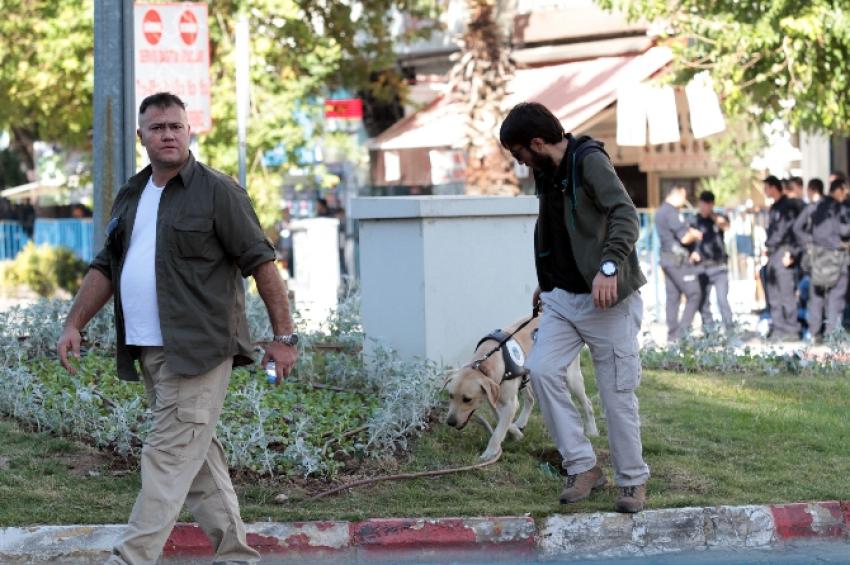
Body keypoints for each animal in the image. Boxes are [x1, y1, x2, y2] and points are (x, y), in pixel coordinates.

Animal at [444, 316, 596, 460]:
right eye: (450, 396)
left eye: (467, 399)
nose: (450, 422)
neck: (484, 364)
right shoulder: (494, 400)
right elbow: (502, 421)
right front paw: (516, 434)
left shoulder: (510, 403)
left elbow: (498, 431)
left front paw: (490, 452)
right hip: (529, 378)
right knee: (531, 399)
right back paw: (522, 422)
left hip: (572, 377)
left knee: (587, 403)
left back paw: (592, 431)